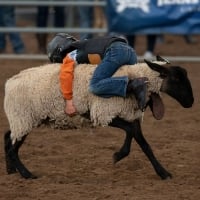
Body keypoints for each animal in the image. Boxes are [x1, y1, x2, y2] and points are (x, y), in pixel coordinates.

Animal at [3, 56, 194, 180]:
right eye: (177, 78)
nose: (191, 102)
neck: (133, 77)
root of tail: (10, 82)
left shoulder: (129, 114)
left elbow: (144, 144)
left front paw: (163, 173)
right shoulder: (104, 112)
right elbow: (130, 132)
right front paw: (118, 155)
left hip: (21, 120)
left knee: (7, 137)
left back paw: (11, 170)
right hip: (23, 118)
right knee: (13, 147)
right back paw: (27, 174)